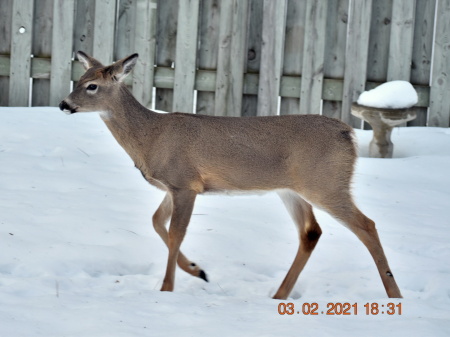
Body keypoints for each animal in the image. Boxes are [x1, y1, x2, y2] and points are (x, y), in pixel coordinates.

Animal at [58, 51, 402, 298]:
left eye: (92, 86)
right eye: (79, 79)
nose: (63, 104)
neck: (150, 137)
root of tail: (349, 134)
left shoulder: (185, 183)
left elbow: (175, 233)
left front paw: (167, 289)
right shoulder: (174, 187)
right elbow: (157, 222)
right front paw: (198, 270)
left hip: (326, 183)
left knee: (366, 225)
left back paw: (394, 294)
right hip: (292, 189)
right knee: (311, 232)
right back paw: (279, 295)